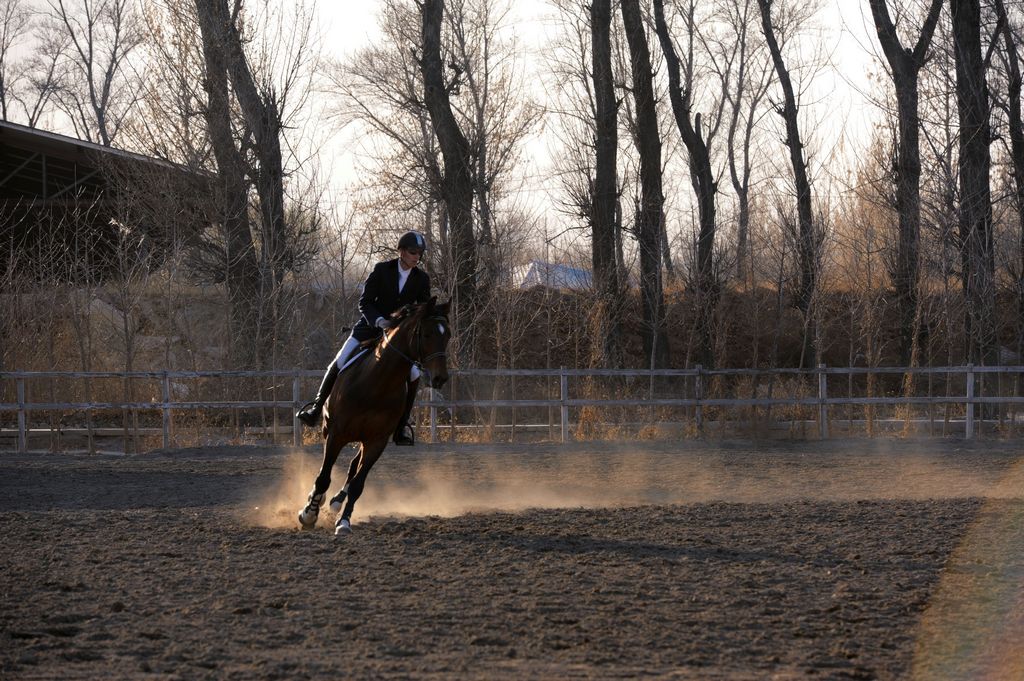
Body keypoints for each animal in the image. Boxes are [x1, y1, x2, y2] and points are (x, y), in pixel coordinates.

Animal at [299, 296, 454, 536]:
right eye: (427, 334)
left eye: (447, 335)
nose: (440, 378)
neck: (377, 384)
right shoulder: (336, 435)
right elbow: (323, 477)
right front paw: (308, 514)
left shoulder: (376, 442)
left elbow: (358, 484)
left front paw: (344, 522)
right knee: (328, 472)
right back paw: (318, 500)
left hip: (364, 438)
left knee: (354, 466)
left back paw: (336, 502)